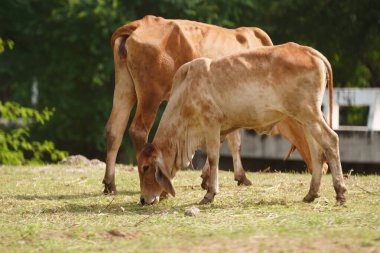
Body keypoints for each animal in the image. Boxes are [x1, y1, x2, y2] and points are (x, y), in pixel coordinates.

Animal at [104, 14, 326, 195]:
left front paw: (210, 178)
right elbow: (230, 141)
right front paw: (231, 177)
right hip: (150, 95)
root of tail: (139, 24)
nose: (324, 167)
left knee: (114, 130)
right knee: (138, 131)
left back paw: (110, 184)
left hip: (125, 88)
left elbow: (227, 140)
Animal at [137, 43, 348, 206]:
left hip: (309, 114)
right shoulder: (222, 130)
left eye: (145, 167)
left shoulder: (211, 123)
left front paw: (209, 194)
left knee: (331, 140)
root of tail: (310, 51)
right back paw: (312, 193)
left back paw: (340, 191)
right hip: (304, 119)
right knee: (317, 152)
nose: (143, 199)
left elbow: (213, 158)